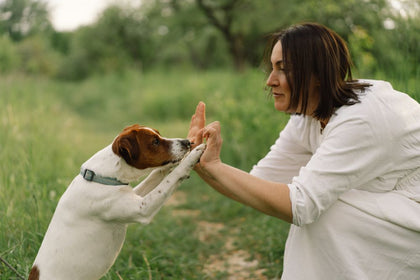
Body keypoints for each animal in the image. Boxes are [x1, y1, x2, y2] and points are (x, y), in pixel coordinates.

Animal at [28, 124, 205, 280]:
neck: (100, 177)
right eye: (155, 141)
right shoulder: (142, 209)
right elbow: (170, 180)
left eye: (159, 135)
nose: (187, 142)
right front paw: (192, 156)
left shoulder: (131, 194)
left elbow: (156, 175)